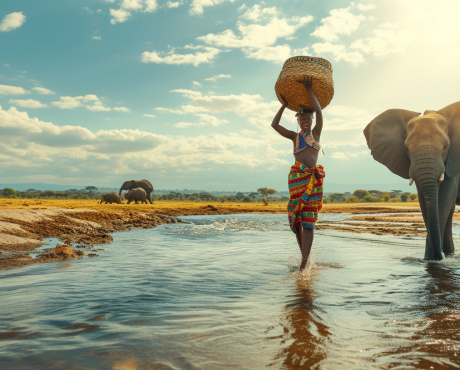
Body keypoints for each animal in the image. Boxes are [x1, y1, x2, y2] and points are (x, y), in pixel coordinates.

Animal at [362, 101, 460, 260]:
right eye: (407, 149)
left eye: (445, 147)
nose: (437, 256)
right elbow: (425, 201)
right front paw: (430, 260)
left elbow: (444, 199)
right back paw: (449, 255)